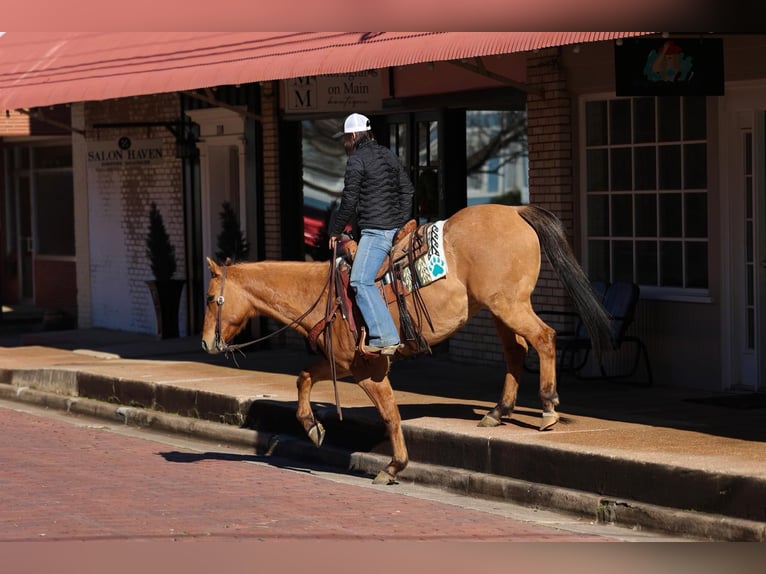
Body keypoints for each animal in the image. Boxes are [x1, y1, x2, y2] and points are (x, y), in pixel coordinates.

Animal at [200, 205, 612, 484]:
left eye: (209, 298)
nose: (205, 343)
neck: (321, 293)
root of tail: (514, 210)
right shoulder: (342, 363)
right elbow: (303, 378)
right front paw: (313, 427)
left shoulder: (369, 370)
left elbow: (390, 415)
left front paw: (394, 466)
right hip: (499, 308)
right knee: (516, 352)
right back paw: (499, 411)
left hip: (510, 305)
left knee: (544, 338)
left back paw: (548, 408)